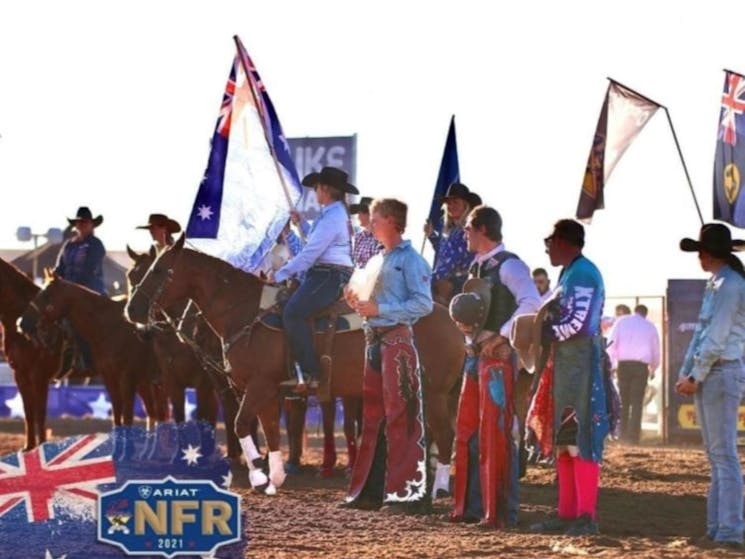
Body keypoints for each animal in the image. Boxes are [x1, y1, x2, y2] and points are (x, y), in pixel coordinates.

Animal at [19, 276, 168, 428]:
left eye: (47, 295)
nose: (23, 323)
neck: (111, 327)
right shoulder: (110, 379)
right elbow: (117, 417)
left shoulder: (127, 380)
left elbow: (127, 419)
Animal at [126, 246, 243, 460]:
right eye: (130, 276)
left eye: (152, 271)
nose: (142, 329)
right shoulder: (170, 382)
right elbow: (178, 416)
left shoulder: (203, 383)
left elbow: (204, 416)